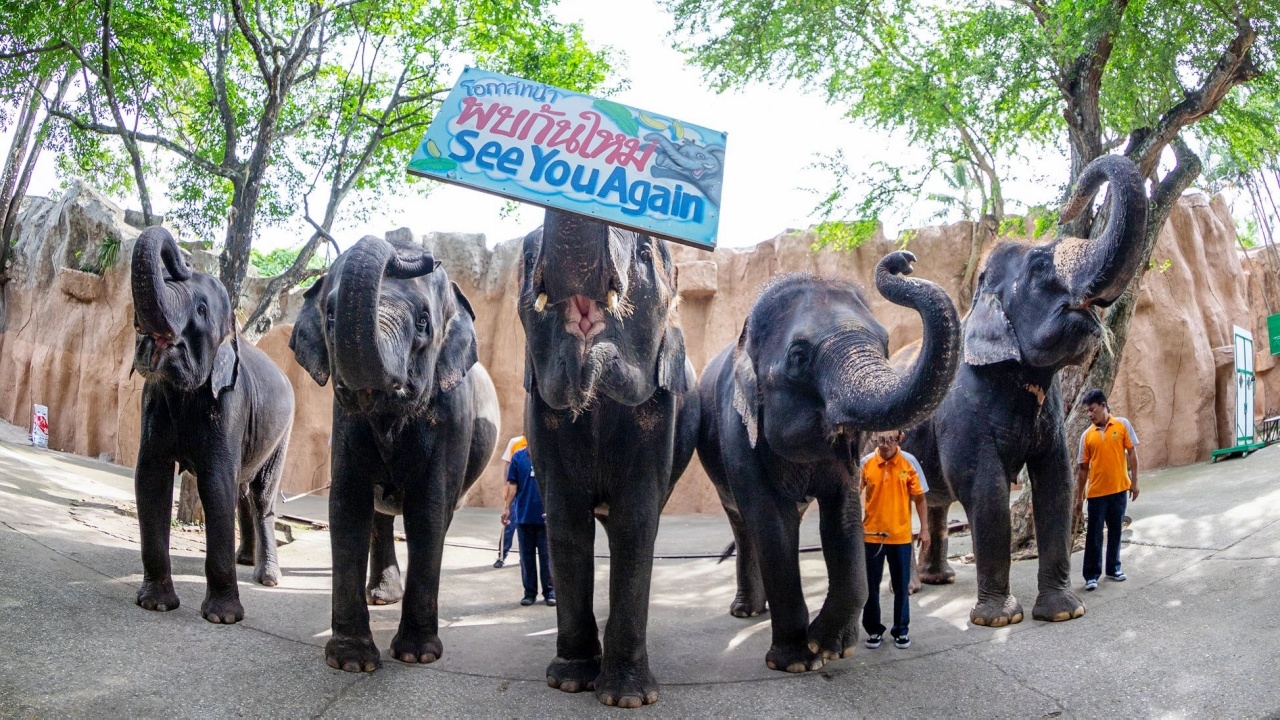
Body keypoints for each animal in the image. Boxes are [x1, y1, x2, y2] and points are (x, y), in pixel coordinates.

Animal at [131, 225, 296, 622]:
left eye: (201, 309)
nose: (183, 259)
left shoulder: (230, 404)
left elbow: (216, 484)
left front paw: (223, 617)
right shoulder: (152, 402)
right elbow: (151, 479)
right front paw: (155, 604)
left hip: (283, 435)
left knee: (261, 496)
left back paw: (267, 577)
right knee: (243, 491)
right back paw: (244, 560)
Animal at [291, 233, 499, 671]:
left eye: (423, 323)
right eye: (330, 316)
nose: (425, 255)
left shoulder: (452, 419)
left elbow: (428, 511)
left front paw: (417, 655)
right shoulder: (343, 422)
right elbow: (347, 507)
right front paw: (352, 662)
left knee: (440, 517)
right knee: (379, 515)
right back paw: (382, 596)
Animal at [517, 207, 701, 707]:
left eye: (644, 253)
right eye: (526, 258)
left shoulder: (661, 412)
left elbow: (635, 521)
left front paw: (627, 698)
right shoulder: (541, 417)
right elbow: (565, 521)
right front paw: (570, 681)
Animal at [701, 251, 962, 666]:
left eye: (886, 343)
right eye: (798, 357)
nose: (904, 259)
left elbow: (844, 517)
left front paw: (829, 647)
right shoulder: (738, 435)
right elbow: (771, 524)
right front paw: (794, 661)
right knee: (743, 524)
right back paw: (746, 611)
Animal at [901, 154, 1152, 625]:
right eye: (1038, 267)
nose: (1070, 207)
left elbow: (1057, 481)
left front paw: (1064, 612)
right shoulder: (962, 416)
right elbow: (986, 491)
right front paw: (998, 619)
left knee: (934, 502)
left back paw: (938, 580)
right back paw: (909, 588)